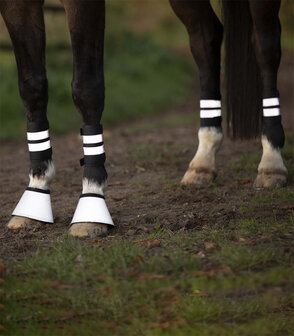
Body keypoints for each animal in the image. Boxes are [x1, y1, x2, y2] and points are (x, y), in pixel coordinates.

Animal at [0, 0, 288, 238]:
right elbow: (32, 85)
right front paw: (36, 189)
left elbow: (86, 87)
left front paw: (91, 200)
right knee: (205, 36)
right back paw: (203, 160)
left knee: (265, 43)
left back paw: (271, 162)